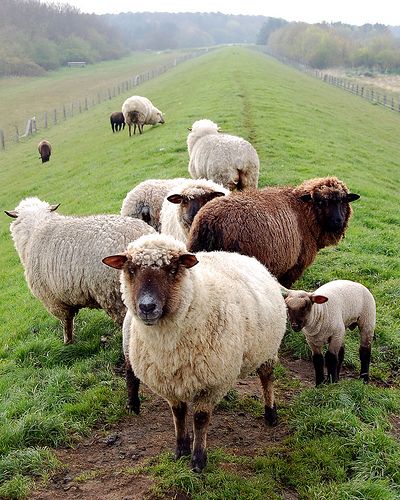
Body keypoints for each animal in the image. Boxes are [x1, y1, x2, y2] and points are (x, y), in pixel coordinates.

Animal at [101, 233, 286, 472]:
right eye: (131, 270)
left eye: (172, 269)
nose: (147, 307)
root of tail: (242, 256)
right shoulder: (169, 381)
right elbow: (178, 414)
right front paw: (181, 449)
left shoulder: (212, 382)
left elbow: (200, 419)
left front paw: (198, 460)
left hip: (268, 351)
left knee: (266, 379)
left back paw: (271, 414)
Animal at [189, 176, 360, 288]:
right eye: (320, 202)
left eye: (343, 200)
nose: (337, 222)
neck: (304, 212)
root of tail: (211, 221)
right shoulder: (294, 268)